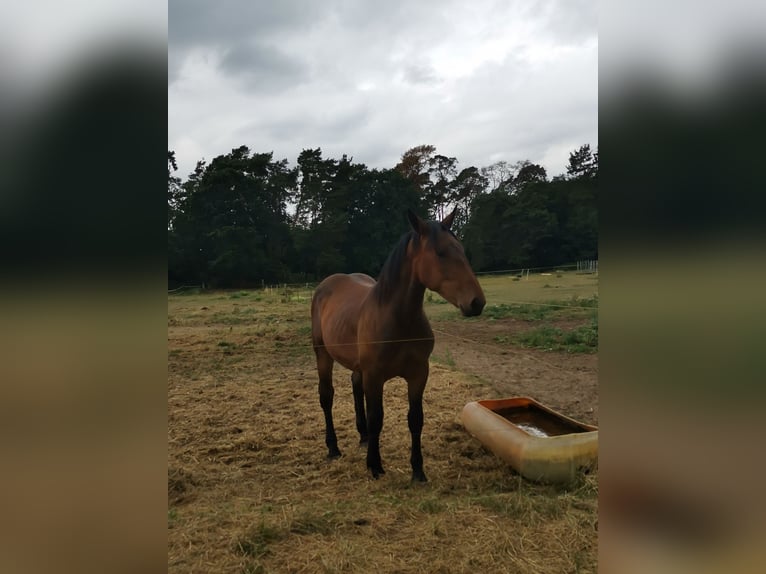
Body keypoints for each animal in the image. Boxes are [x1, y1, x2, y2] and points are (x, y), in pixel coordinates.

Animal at [310, 208, 486, 481]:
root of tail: (326, 285)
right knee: (326, 396)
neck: (397, 320)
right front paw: (374, 465)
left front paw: (418, 470)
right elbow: (377, 418)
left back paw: (363, 437)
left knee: (355, 386)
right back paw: (333, 448)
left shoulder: (418, 374)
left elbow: (415, 419)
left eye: (461, 249)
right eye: (441, 252)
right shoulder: (375, 376)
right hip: (323, 355)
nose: (476, 302)